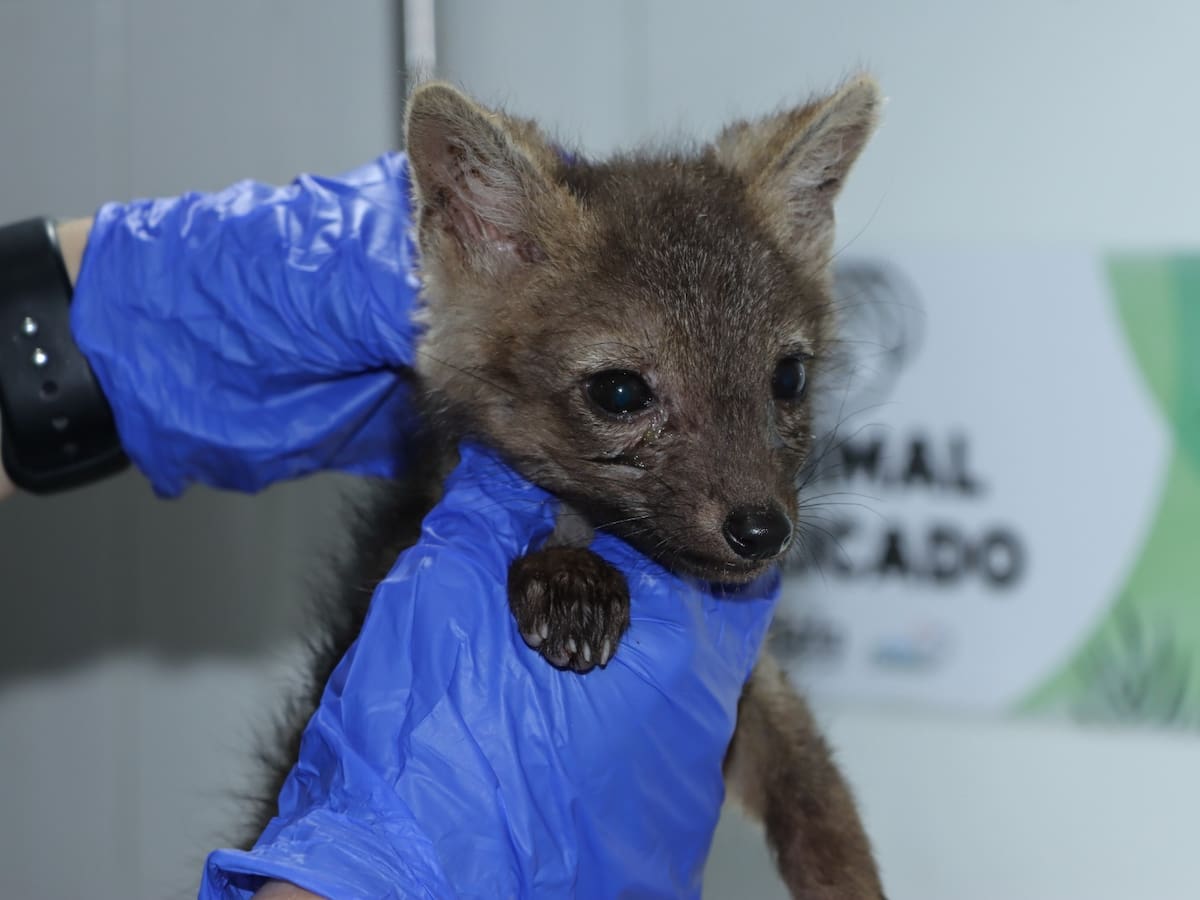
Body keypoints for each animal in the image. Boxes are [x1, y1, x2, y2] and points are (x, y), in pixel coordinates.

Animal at [254, 77, 886, 899]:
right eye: (620, 392)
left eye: (789, 378)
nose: (762, 531)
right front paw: (568, 579)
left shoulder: (758, 690)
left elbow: (822, 803)